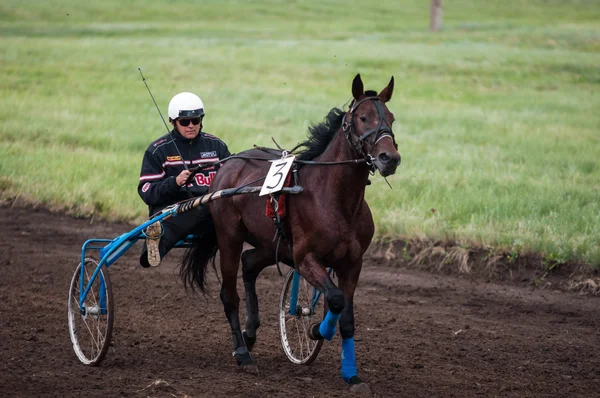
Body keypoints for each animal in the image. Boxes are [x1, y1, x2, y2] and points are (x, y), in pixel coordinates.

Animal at [180, 73, 400, 390]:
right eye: (363, 117)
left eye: (391, 118)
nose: (389, 158)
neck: (334, 198)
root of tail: (228, 165)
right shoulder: (305, 257)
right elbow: (334, 300)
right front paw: (316, 330)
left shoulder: (352, 263)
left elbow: (346, 317)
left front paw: (351, 374)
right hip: (230, 237)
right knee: (229, 293)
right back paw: (243, 354)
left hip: (272, 245)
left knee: (249, 264)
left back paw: (249, 333)